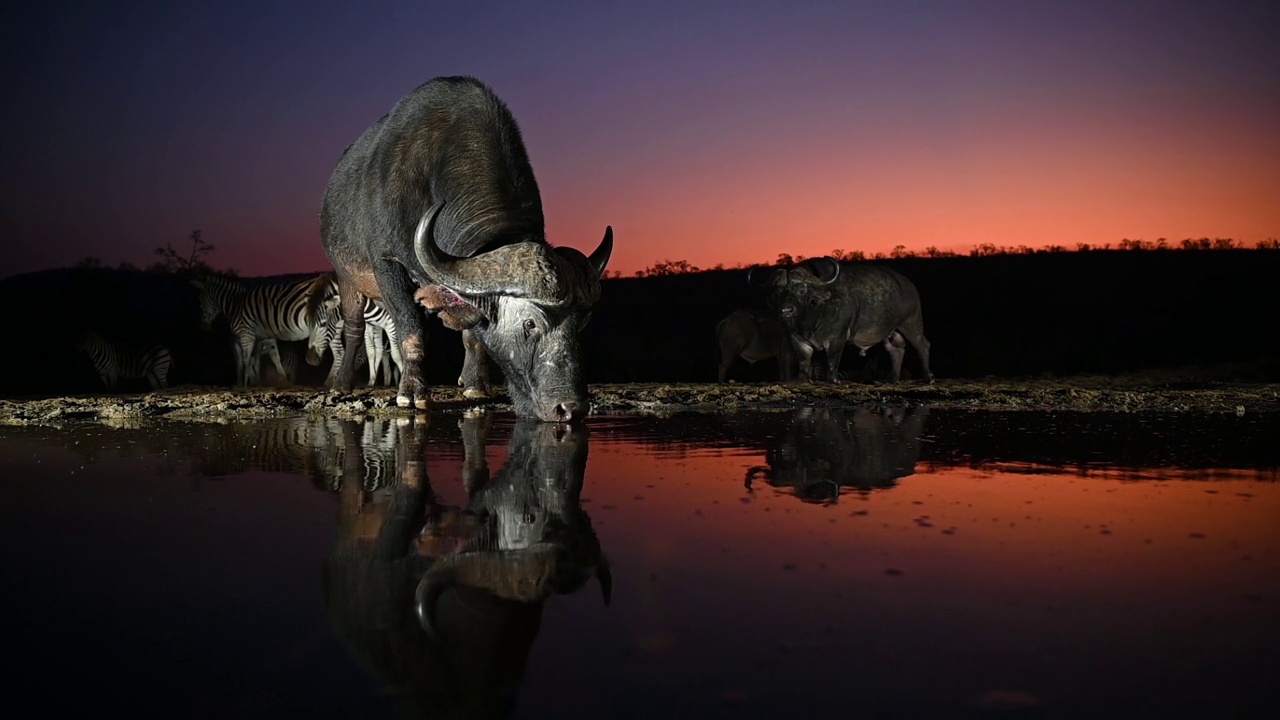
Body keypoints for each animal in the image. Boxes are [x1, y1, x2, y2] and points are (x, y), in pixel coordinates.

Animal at [189, 270, 337, 384]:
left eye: (199, 300)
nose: (204, 326)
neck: (236, 304)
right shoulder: (265, 337)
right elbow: (271, 357)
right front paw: (279, 380)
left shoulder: (245, 334)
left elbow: (246, 360)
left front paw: (246, 383)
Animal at [317, 74, 611, 417]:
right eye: (529, 323)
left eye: (581, 324)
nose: (571, 407)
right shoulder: (387, 263)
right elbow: (411, 328)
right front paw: (412, 392)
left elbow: (473, 335)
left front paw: (475, 384)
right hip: (347, 277)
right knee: (354, 328)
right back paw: (343, 383)